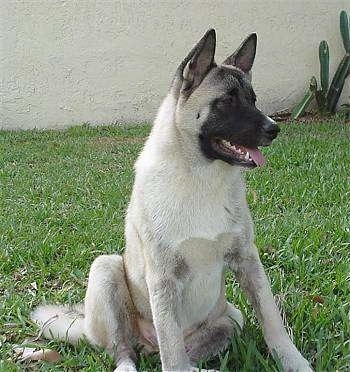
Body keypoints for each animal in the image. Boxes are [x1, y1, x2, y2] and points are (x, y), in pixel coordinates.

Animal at [32, 29, 312, 372]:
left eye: (253, 100)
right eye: (227, 101)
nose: (274, 129)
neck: (201, 179)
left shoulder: (248, 260)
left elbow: (273, 323)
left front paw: (295, 363)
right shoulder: (163, 279)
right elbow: (172, 353)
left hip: (232, 317)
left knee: (189, 355)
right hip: (106, 269)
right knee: (127, 350)